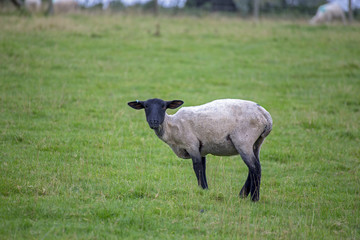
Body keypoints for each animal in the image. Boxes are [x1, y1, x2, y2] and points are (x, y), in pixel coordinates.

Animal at [128, 98, 272, 202]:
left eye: (163, 106)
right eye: (146, 106)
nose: (154, 121)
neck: (172, 126)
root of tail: (263, 113)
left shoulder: (191, 145)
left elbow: (197, 168)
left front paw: (201, 190)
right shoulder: (201, 149)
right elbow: (203, 168)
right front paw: (206, 190)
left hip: (244, 141)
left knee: (255, 168)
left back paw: (254, 199)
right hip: (257, 143)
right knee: (253, 168)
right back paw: (242, 195)